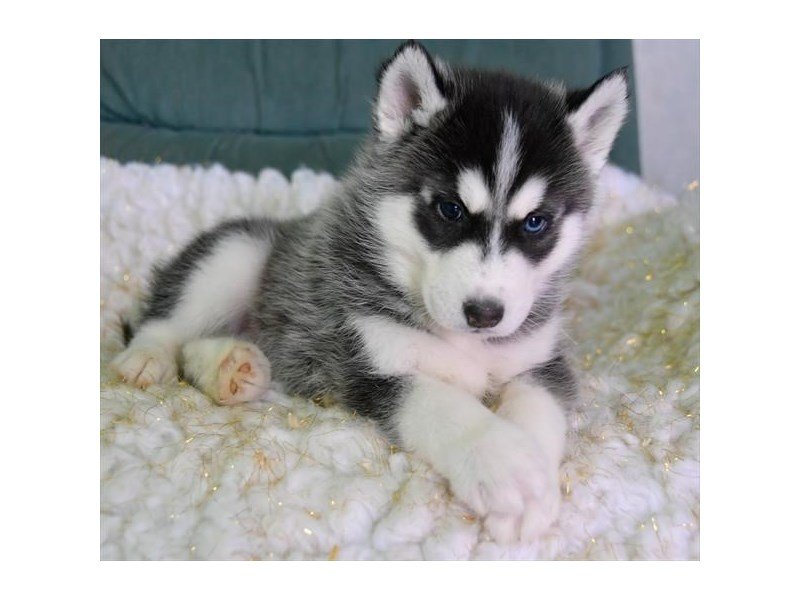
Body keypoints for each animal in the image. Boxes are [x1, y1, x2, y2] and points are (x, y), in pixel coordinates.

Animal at [111, 41, 628, 543]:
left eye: (536, 222)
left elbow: (539, 410)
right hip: (236, 253)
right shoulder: (370, 366)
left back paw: (232, 368)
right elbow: (449, 408)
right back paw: (151, 357)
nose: (484, 313)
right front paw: (506, 467)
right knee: (169, 323)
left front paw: (533, 481)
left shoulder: (540, 363)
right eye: (450, 209)